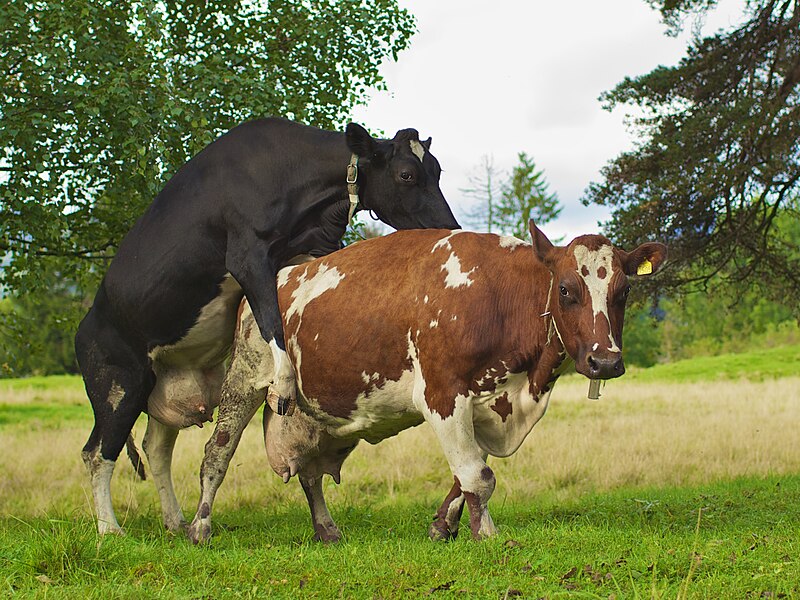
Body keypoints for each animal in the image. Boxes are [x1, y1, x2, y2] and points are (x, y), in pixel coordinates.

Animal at [75, 118, 462, 536]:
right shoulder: (248, 256)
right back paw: (109, 528)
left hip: (164, 383)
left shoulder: (309, 249)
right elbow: (270, 321)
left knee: (156, 448)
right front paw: (285, 383)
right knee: (97, 452)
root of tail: (84, 327)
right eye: (407, 175)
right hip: (119, 387)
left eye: (438, 171)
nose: (451, 227)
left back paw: (175, 521)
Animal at [184, 224, 664, 544]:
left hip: (319, 411)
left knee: (311, 473)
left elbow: (467, 472)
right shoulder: (442, 394)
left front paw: (443, 524)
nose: (605, 361)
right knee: (216, 456)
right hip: (244, 379)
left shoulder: (486, 402)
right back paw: (200, 527)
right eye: (565, 289)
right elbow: (479, 475)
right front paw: (486, 534)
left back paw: (326, 529)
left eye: (623, 291)